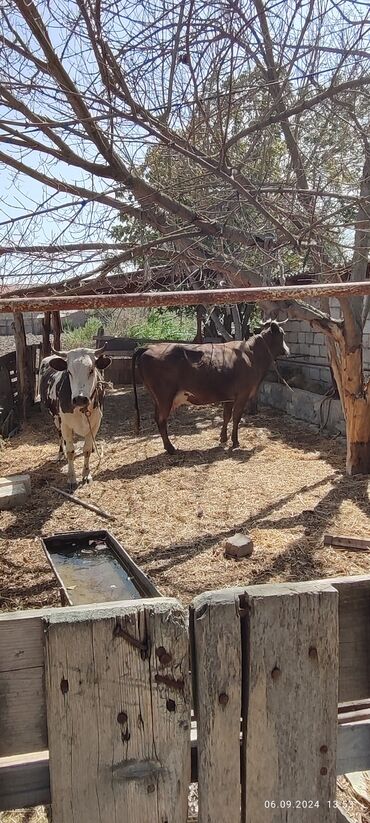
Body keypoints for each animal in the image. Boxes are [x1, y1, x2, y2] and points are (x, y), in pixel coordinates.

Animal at [40, 346, 111, 490]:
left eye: (91, 370)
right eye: (69, 371)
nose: (80, 398)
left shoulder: (95, 423)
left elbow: (87, 450)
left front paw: (86, 474)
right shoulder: (65, 424)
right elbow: (71, 451)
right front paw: (72, 478)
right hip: (55, 418)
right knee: (60, 437)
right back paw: (60, 454)